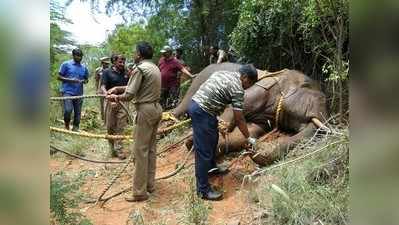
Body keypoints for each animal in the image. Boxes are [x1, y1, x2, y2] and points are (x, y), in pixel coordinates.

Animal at [174, 62, 328, 166]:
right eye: (306, 87)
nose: (254, 148)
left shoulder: (268, 116)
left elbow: (247, 132)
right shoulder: (263, 88)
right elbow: (234, 108)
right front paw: (192, 141)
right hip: (196, 84)